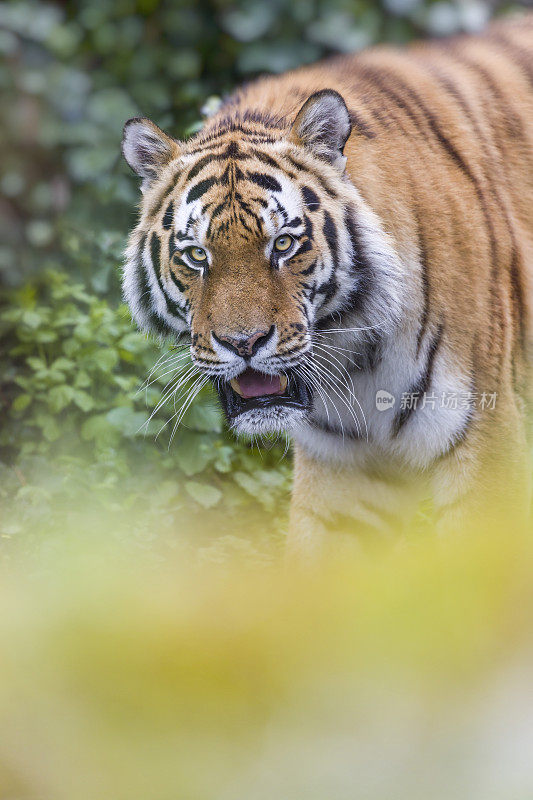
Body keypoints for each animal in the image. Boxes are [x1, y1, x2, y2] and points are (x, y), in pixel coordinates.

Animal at [121, 12, 532, 552]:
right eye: (196, 255)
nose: (243, 343)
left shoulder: (486, 438)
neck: (357, 359)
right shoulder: (343, 468)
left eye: (282, 245)